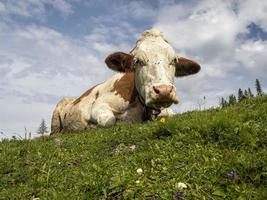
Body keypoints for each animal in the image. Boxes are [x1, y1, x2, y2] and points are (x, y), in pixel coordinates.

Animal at [50, 28, 201, 134]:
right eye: (137, 61)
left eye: (174, 60)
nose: (164, 91)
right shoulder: (99, 104)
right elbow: (109, 121)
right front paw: (93, 126)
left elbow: (170, 114)